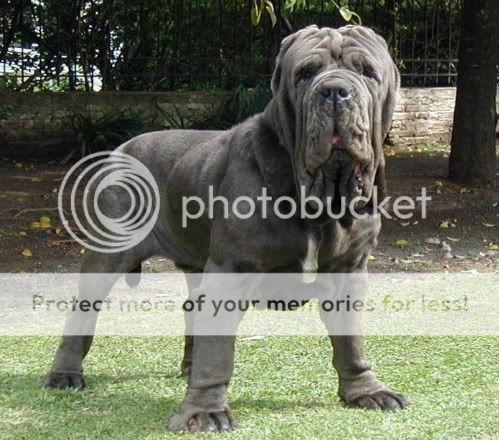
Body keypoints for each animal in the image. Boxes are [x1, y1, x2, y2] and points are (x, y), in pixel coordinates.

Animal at [44, 24, 410, 434]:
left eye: (367, 73)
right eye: (305, 74)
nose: (334, 91)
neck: (318, 192)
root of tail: (120, 148)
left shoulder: (349, 270)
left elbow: (351, 341)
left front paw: (365, 391)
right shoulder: (230, 270)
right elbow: (217, 350)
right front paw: (205, 411)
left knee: (191, 306)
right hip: (108, 253)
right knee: (83, 309)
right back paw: (64, 375)